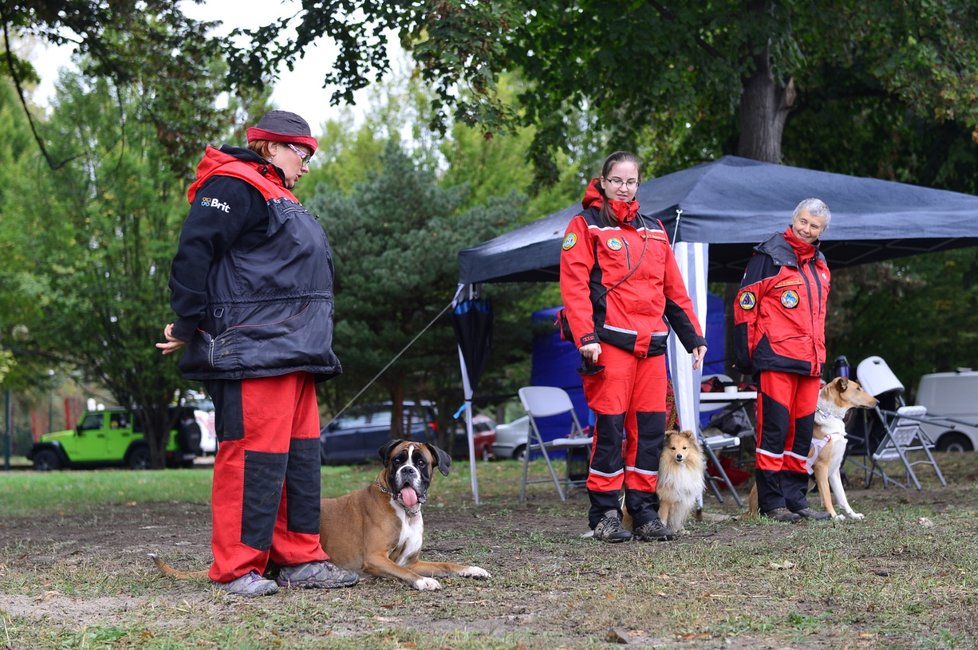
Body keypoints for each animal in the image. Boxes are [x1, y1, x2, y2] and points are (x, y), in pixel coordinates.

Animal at [318, 438, 492, 588]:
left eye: (421, 462)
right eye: (397, 460)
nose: (407, 470)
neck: (406, 512)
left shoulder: (411, 562)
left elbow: (445, 564)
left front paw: (471, 569)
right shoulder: (375, 557)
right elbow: (402, 571)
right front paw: (424, 581)